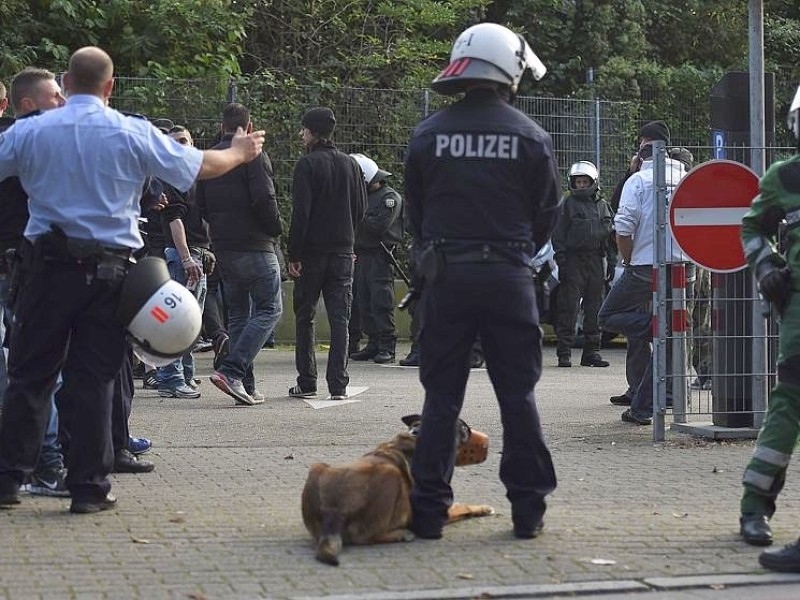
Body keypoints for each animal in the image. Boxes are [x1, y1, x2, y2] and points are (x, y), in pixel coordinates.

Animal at [300, 414, 490, 564]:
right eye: (466, 429)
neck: (416, 435)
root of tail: (333, 514)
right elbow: (463, 507)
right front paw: (484, 508)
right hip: (391, 474)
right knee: (365, 538)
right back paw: (400, 534)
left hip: (316, 468)